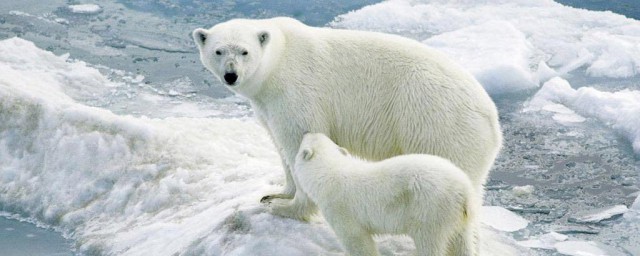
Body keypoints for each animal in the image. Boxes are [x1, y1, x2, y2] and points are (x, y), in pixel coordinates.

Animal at [192, 16, 502, 220]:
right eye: (218, 50)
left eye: (244, 51)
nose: (231, 75)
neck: (278, 60)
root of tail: (493, 122)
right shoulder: (267, 104)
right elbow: (279, 145)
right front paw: (277, 194)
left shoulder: (297, 92)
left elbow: (298, 140)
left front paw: (287, 209)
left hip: (437, 125)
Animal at [292, 133, 478, 255]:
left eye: (303, 141)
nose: (307, 131)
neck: (329, 172)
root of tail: (464, 191)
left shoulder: (340, 208)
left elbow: (357, 240)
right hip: (457, 216)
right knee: (461, 240)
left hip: (430, 209)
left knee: (429, 241)